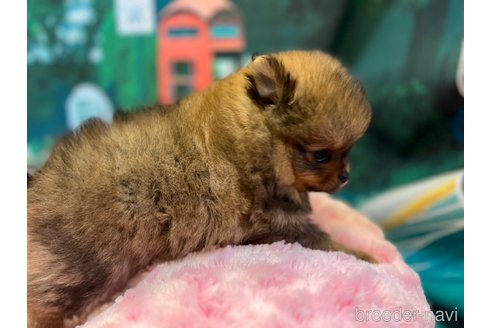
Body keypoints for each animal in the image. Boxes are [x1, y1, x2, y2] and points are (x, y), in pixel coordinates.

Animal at [26, 50, 370, 326]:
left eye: (348, 152)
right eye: (321, 155)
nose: (346, 176)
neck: (255, 141)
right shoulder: (282, 224)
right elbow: (328, 242)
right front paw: (366, 256)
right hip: (81, 270)